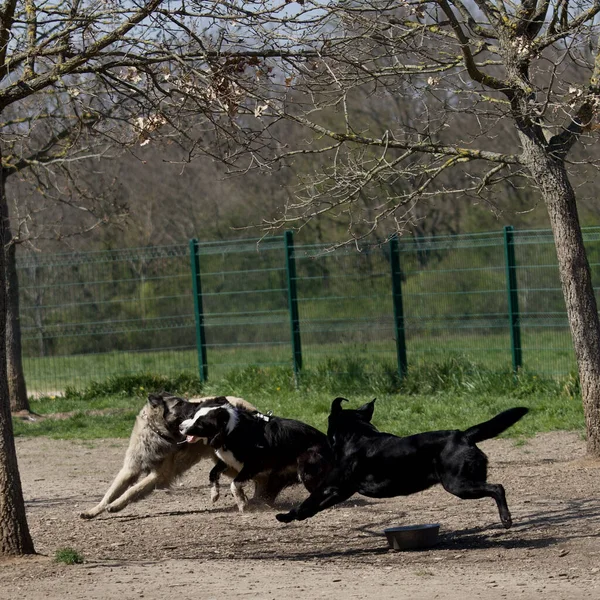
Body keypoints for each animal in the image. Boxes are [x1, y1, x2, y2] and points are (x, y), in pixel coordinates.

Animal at [78, 394, 254, 516]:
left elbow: (132, 490)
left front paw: (115, 505)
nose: (199, 405)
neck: (156, 432)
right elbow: (110, 493)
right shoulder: (129, 470)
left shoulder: (158, 475)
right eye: (179, 403)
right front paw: (93, 511)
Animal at [178, 398, 332, 510]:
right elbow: (213, 473)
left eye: (200, 424)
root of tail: (328, 441)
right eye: (193, 416)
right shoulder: (228, 460)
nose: (180, 427)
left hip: (306, 469)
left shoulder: (254, 464)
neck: (231, 431)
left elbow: (234, 483)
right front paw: (214, 494)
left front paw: (241, 503)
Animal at [274, 400, 528, 528]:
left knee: (497, 488)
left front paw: (285, 516)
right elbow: (314, 506)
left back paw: (506, 519)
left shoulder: (330, 486)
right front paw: (298, 517)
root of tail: (463, 435)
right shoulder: (342, 491)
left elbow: (308, 501)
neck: (357, 435)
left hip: (459, 484)